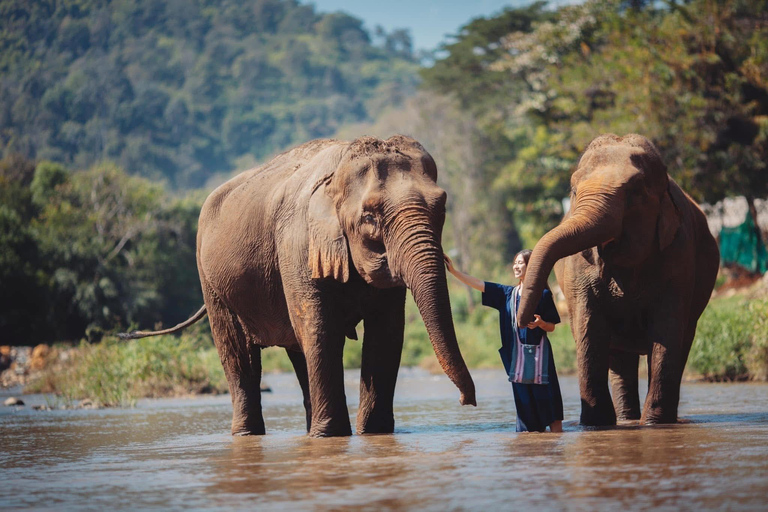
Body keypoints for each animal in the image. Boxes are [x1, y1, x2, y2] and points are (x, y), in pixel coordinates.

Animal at [121, 135, 477, 437]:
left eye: (441, 206)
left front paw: (373, 435)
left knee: (297, 350)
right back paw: (250, 434)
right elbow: (320, 328)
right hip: (211, 281)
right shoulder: (296, 244)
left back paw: (308, 429)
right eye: (370, 217)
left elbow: (386, 333)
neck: (339, 170)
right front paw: (333, 437)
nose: (466, 401)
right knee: (238, 354)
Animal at [516, 134, 719, 426]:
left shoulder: (679, 256)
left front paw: (655, 424)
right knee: (619, 356)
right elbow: (590, 330)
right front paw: (594, 425)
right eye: (573, 190)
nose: (527, 319)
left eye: (635, 191)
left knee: (682, 341)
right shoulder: (580, 270)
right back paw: (625, 421)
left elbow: (667, 330)